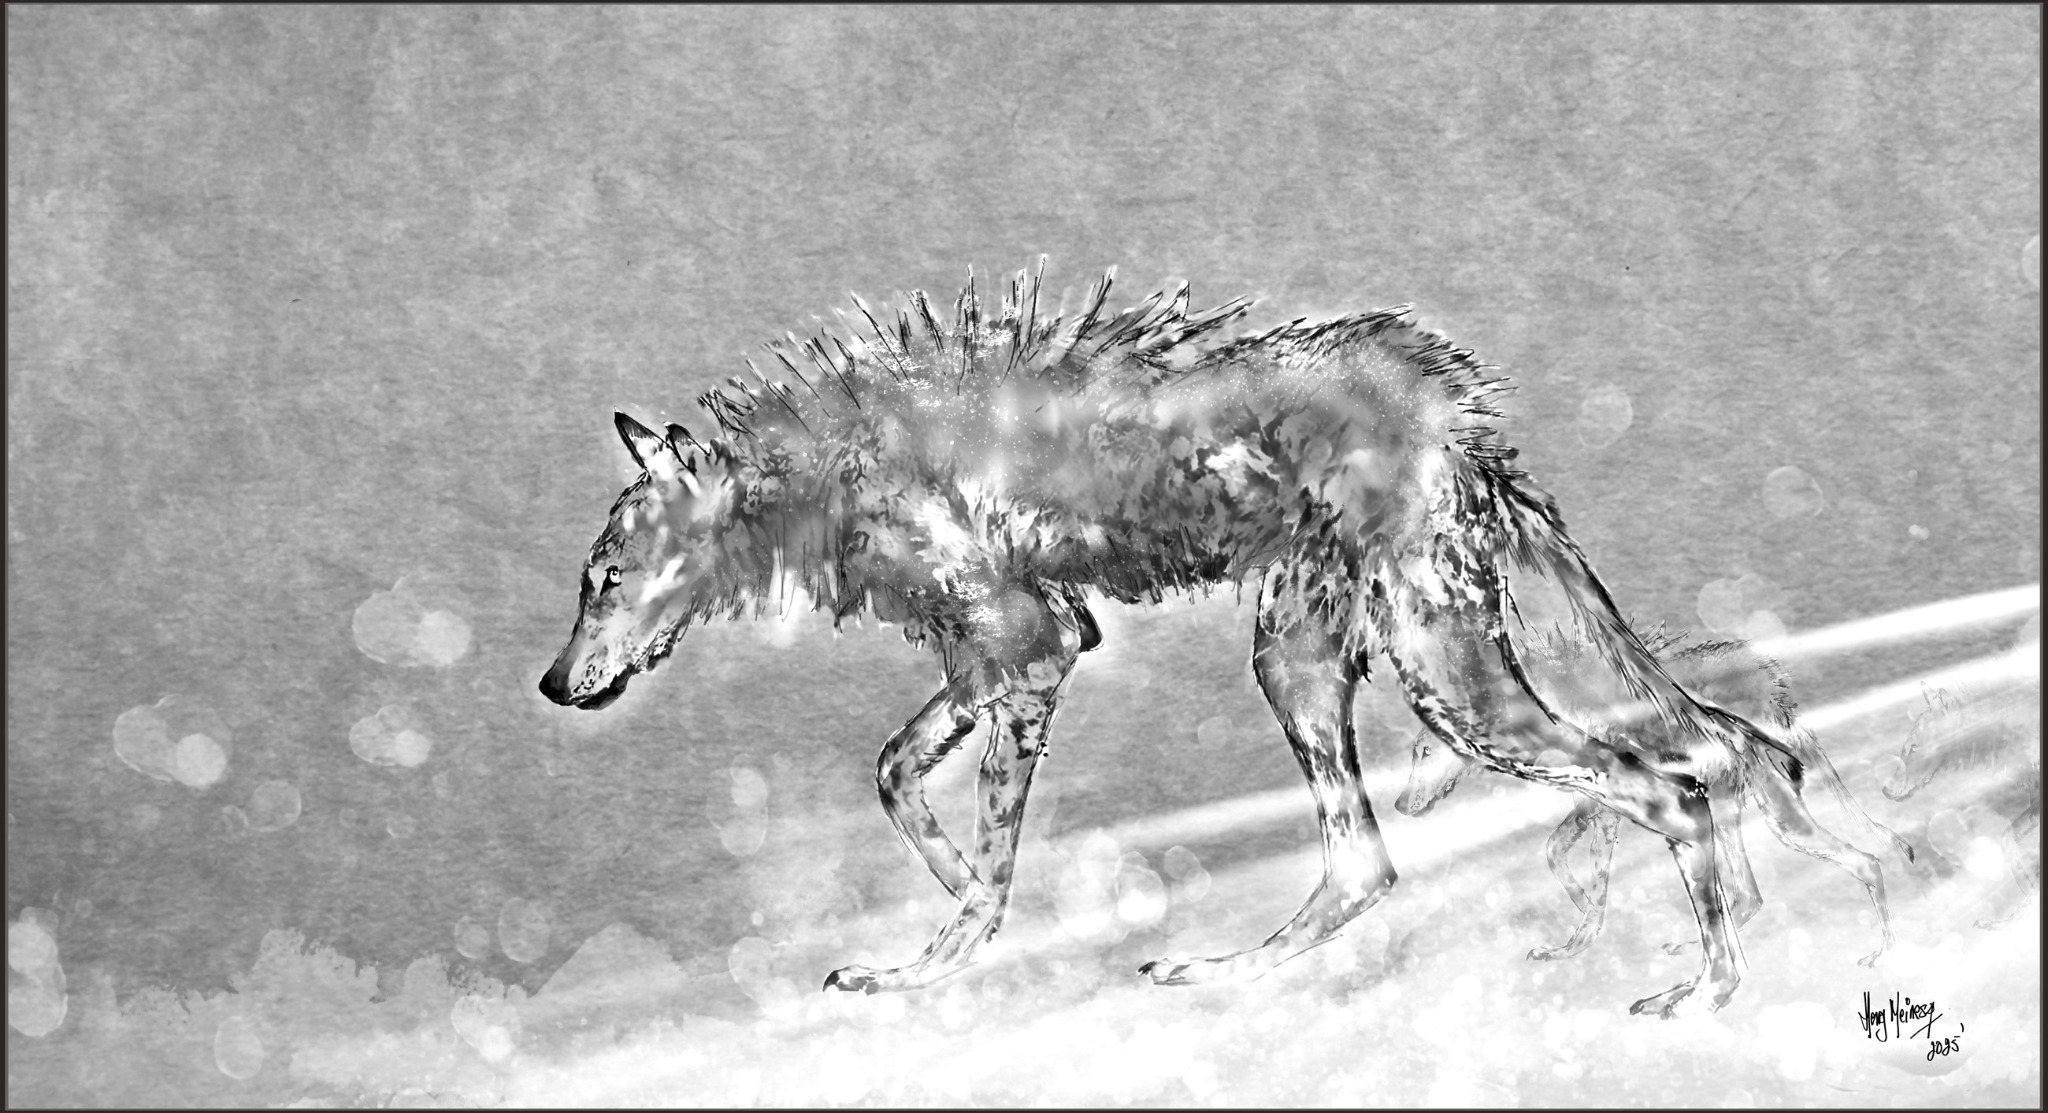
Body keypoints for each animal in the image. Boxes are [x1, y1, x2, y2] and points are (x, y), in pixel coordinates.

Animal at [1399, 631, 1910, 963]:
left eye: (1423, 751)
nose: (1400, 805)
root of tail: (1777, 693)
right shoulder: (1593, 805)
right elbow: (1555, 854)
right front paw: (1579, 915)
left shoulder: (1604, 808)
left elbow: (1585, 875)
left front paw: (1574, 943)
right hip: (1730, 817)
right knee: (1750, 896)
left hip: (1780, 822)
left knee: (1865, 862)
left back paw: (1883, 953)